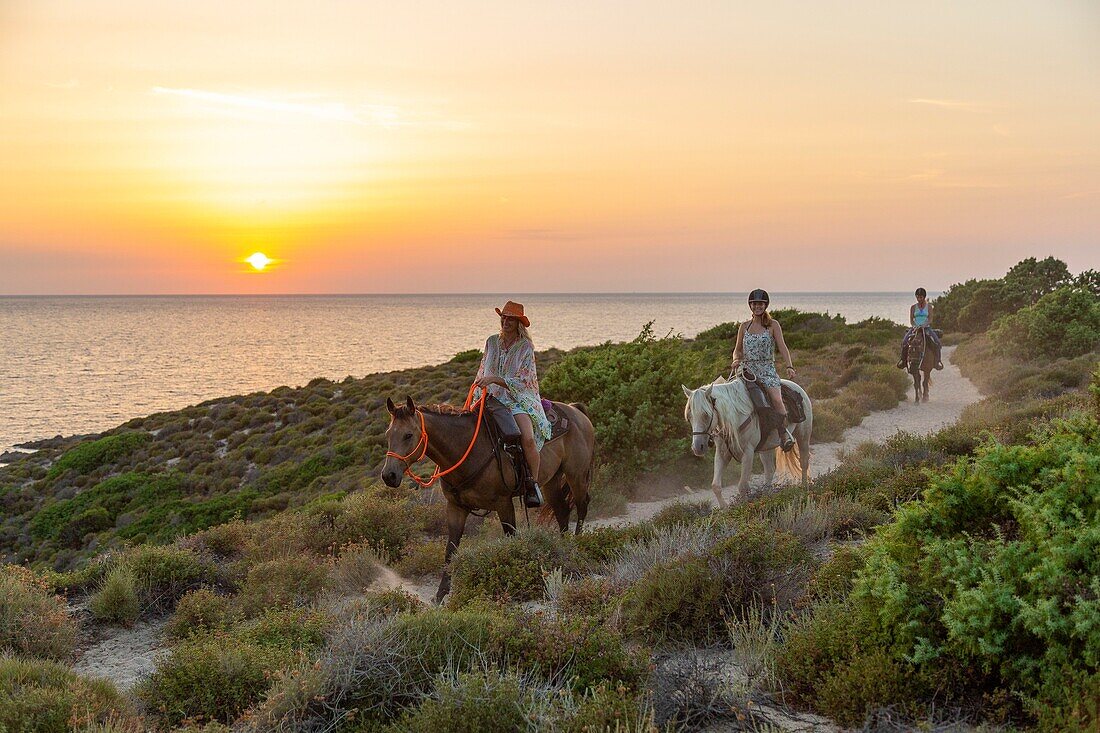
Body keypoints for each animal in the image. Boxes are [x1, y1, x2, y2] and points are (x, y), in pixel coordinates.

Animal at [382, 394, 598, 598]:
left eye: (408, 435)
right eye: (388, 434)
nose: (388, 476)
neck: (467, 450)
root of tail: (574, 410)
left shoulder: (504, 504)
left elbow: (511, 539)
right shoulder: (456, 507)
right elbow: (450, 550)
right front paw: (440, 594)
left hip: (576, 475)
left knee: (581, 506)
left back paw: (578, 546)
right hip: (551, 481)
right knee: (562, 511)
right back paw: (565, 549)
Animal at [682, 374, 814, 506]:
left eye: (706, 414)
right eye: (689, 417)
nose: (697, 447)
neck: (735, 415)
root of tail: (797, 387)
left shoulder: (748, 452)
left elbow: (742, 486)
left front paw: (745, 506)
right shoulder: (722, 453)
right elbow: (716, 486)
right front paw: (724, 508)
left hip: (803, 435)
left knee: (803, 461)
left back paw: (804, 488)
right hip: (766, 448)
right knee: (769, 471)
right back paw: (766, 497)